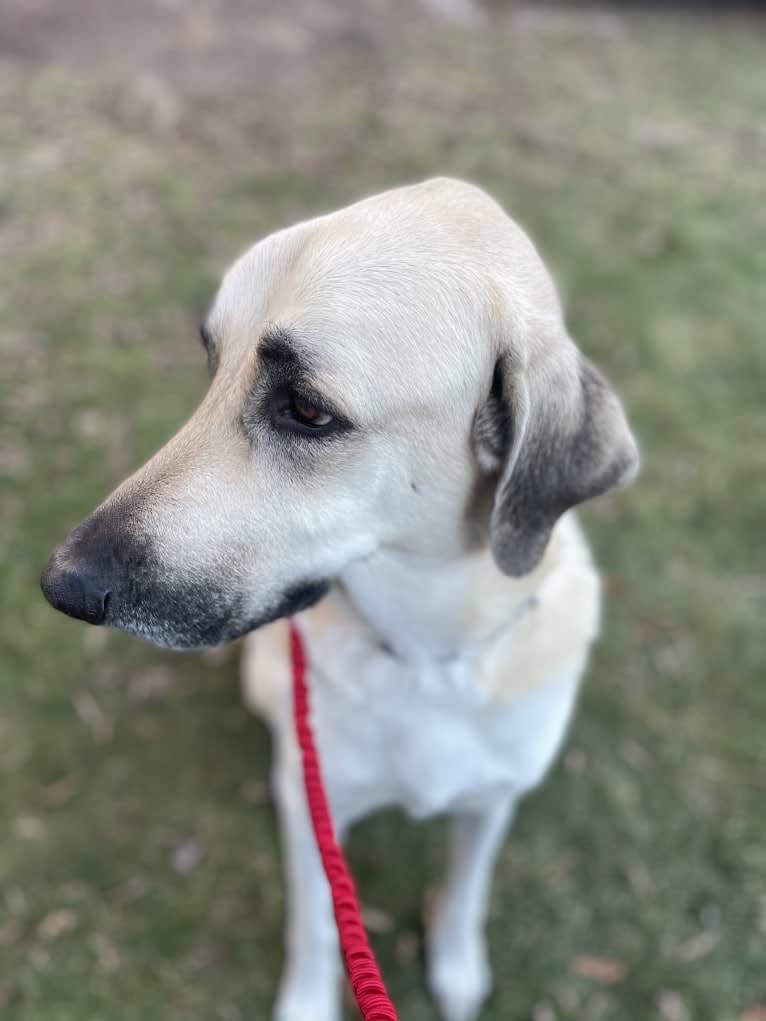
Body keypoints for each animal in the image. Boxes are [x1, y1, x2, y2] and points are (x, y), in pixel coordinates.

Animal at [41, 179, 641, 1021]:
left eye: (308, 409)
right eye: (212, 362)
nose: (60, 581)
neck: (426, 656)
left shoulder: (493, 800)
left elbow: (467, 884)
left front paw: (456, 962)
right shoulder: (315, 807)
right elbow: (320, 920)